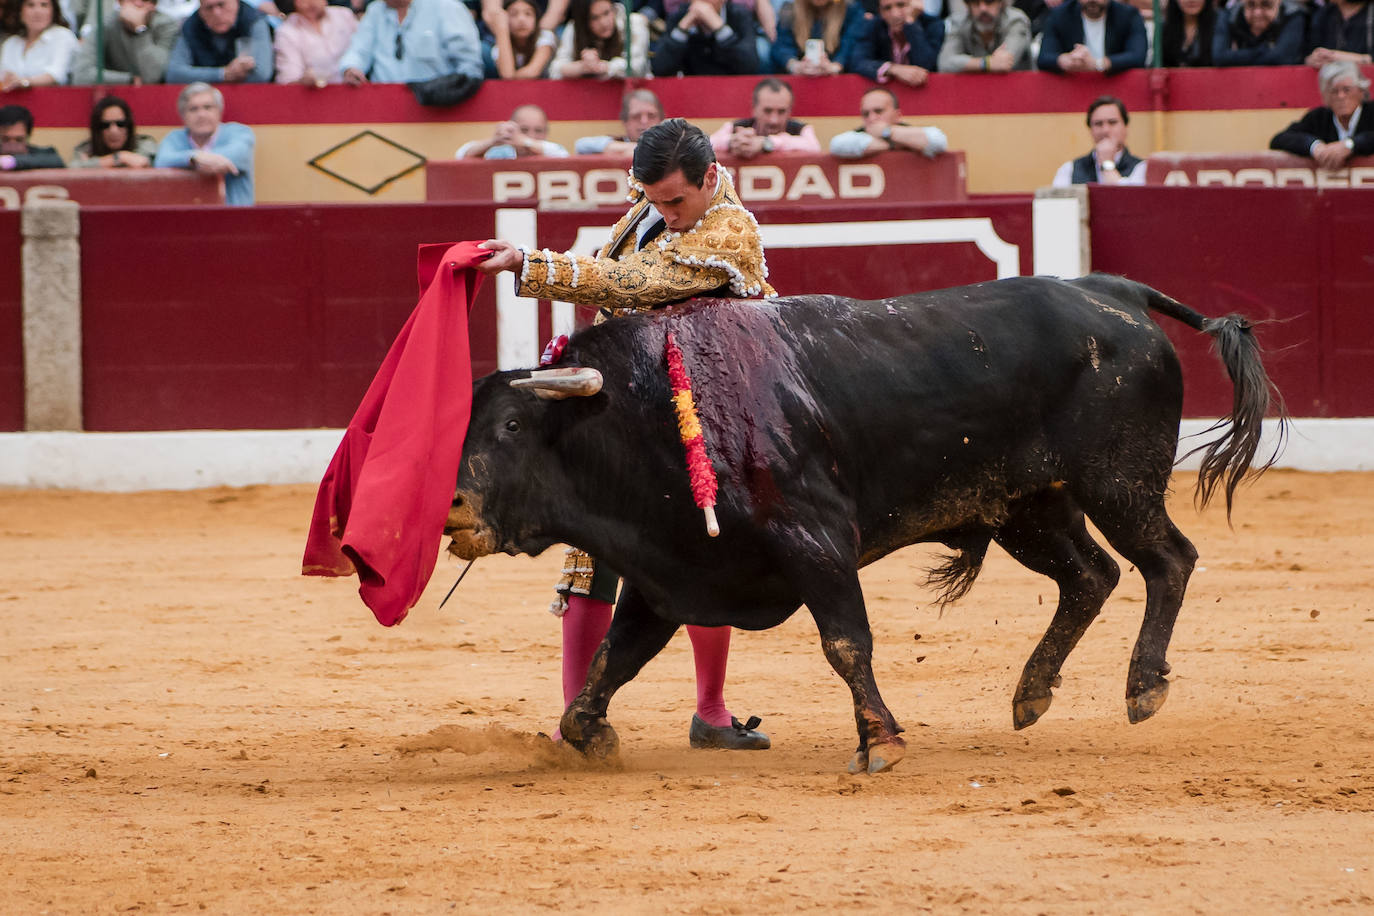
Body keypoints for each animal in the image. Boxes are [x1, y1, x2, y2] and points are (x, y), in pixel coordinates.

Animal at [445, 274, 1280, 774]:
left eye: (513, 426)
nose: (451, 507)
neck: (649, 407)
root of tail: (1114, 290)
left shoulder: (815, 542)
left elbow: (846, 641)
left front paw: (880, 740)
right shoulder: (671, 569)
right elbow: (616, 656)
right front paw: (587, 734)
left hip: (1118, 483)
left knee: (1167, 560)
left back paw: (1143, 688)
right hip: (1029, 506)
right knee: (1091, 575)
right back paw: (1032, 694)